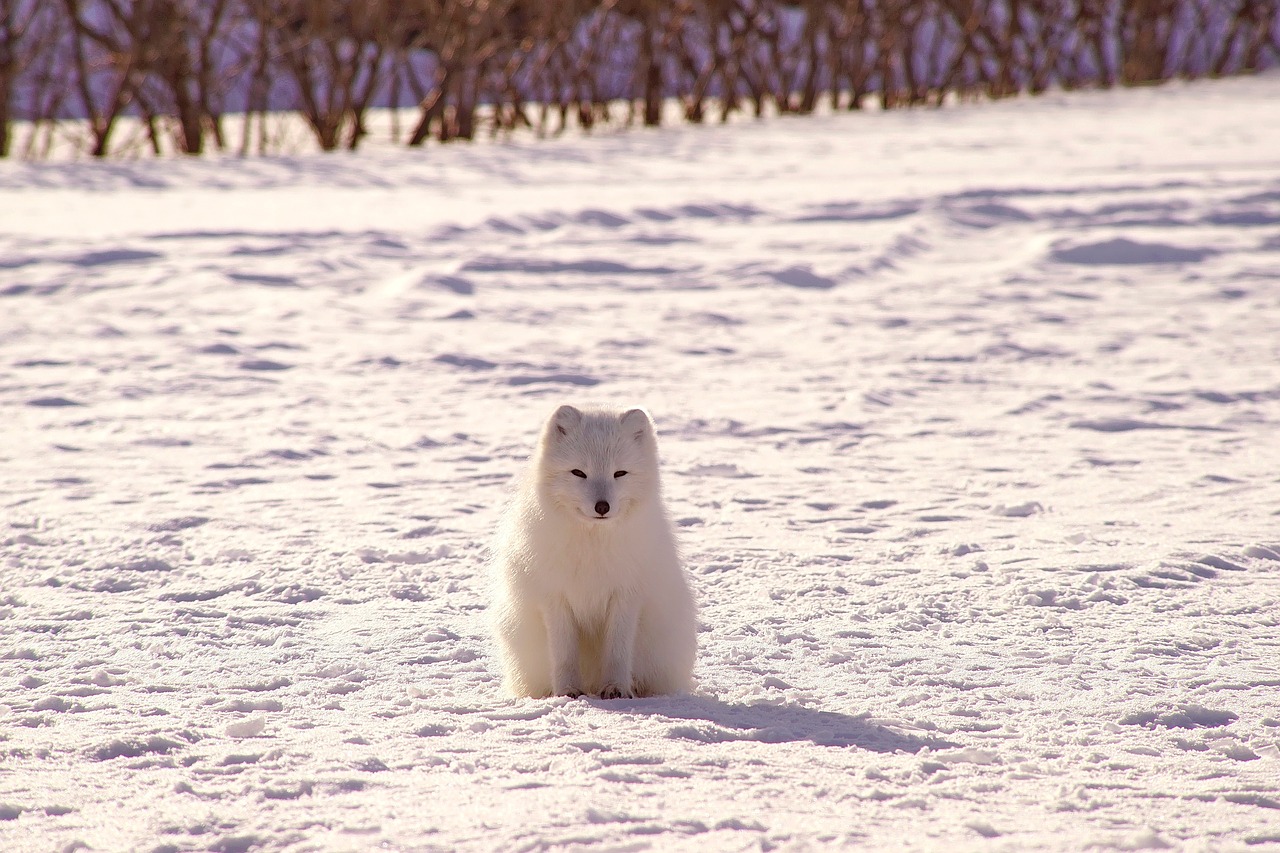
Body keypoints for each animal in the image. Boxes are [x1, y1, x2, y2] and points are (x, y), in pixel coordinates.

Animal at [488, 404, 696, 696]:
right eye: (579, 473)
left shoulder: (626, 596)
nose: (602, 506)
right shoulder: (555, 598)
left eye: (619, 473)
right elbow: (564, 653)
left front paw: (617, 689)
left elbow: (618, 651)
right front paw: (567, 691)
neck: (592, 545)